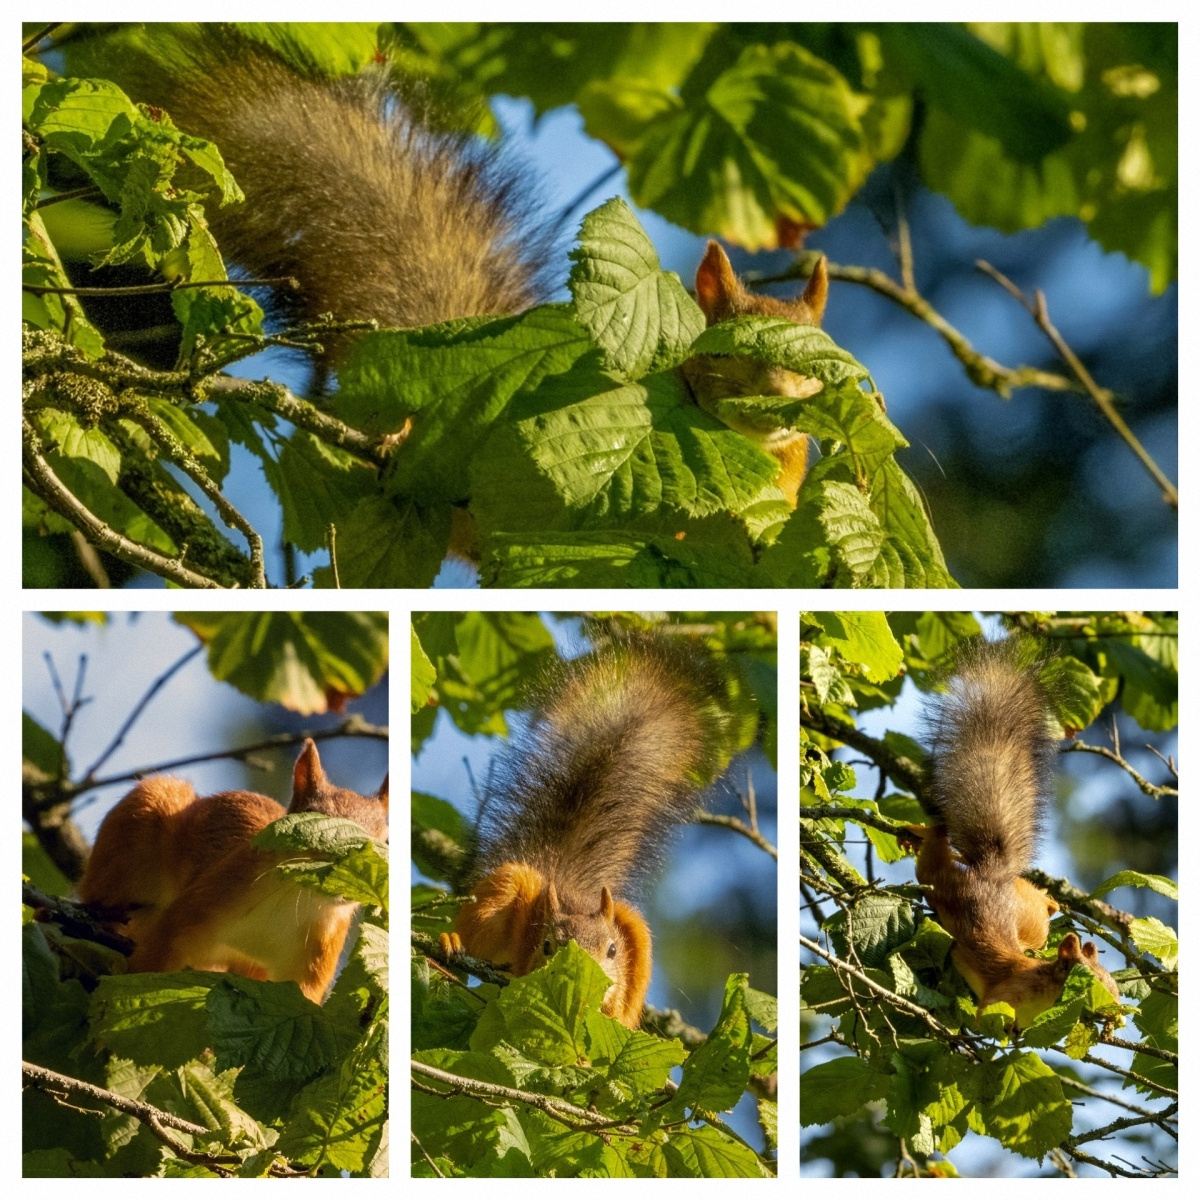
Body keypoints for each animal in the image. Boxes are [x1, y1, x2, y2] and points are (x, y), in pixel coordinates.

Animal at [77, 739, 388, 1004]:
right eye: (311, 814)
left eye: (385, 839)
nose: (350, 862)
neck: (296, 900)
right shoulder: (206, 901)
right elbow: (153, 960)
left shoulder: (315, 957)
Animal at [438, 635, 737, 1028]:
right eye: (547, 946)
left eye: (612, 950)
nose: (585, 983)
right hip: (506, 888)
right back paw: (451, 943)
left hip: (635, 928)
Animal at [902, 641, 1120, 1029]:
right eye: (1090, 980)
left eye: (1111, 980)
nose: (1117, 1009)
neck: (1041, 983)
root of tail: (993, 870)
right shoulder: (1002, 997)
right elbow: (982, 1017)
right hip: (940, 883)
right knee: (934, 852)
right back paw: (922, 831)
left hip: (1030, 921)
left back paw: (1050, 899)